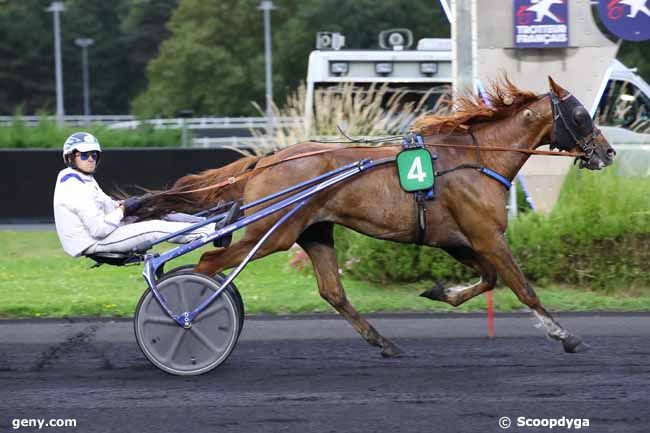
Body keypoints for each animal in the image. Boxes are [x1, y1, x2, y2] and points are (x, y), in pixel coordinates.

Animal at [133, 77, 612, 354]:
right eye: (580, 114)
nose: (606, 152)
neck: (476, 158)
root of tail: (267, 159)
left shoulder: (460, 240)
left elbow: (490, 280)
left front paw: (439, 291)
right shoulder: (486, 236)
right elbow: (523, 287)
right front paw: (565, 335)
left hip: (315, 232)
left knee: (332, 292)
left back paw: (383, 342)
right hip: (272, 233)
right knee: (208, 262)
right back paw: (185, 317)